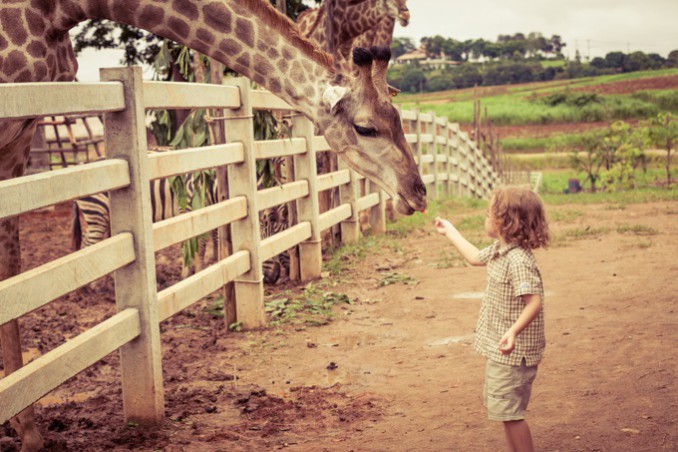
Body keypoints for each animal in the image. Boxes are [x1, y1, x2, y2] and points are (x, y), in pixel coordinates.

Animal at [0, 0, 428, 448]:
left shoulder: (19, 136)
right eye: (365, 126)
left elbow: (10, 271)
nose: (418, 192)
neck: (57, 12)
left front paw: (26, 429)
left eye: (400, 119)